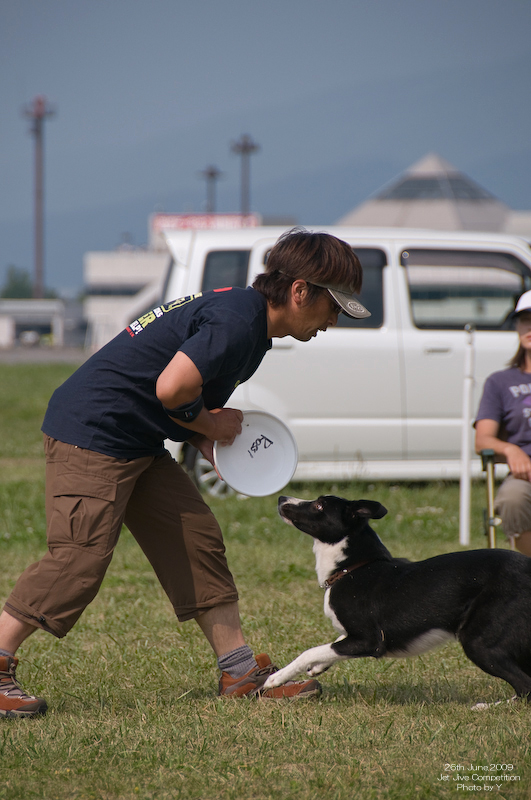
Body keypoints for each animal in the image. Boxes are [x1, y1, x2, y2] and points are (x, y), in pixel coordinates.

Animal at [264, 494, 531, 700]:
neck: (353, 568)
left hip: (479, 642)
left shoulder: (369, 640)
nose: (281, 498)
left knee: (524, 687)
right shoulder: (354, 637)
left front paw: (276, 678)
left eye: (319, 505)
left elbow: (311, 650)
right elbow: (332, 643)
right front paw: (318, 667)